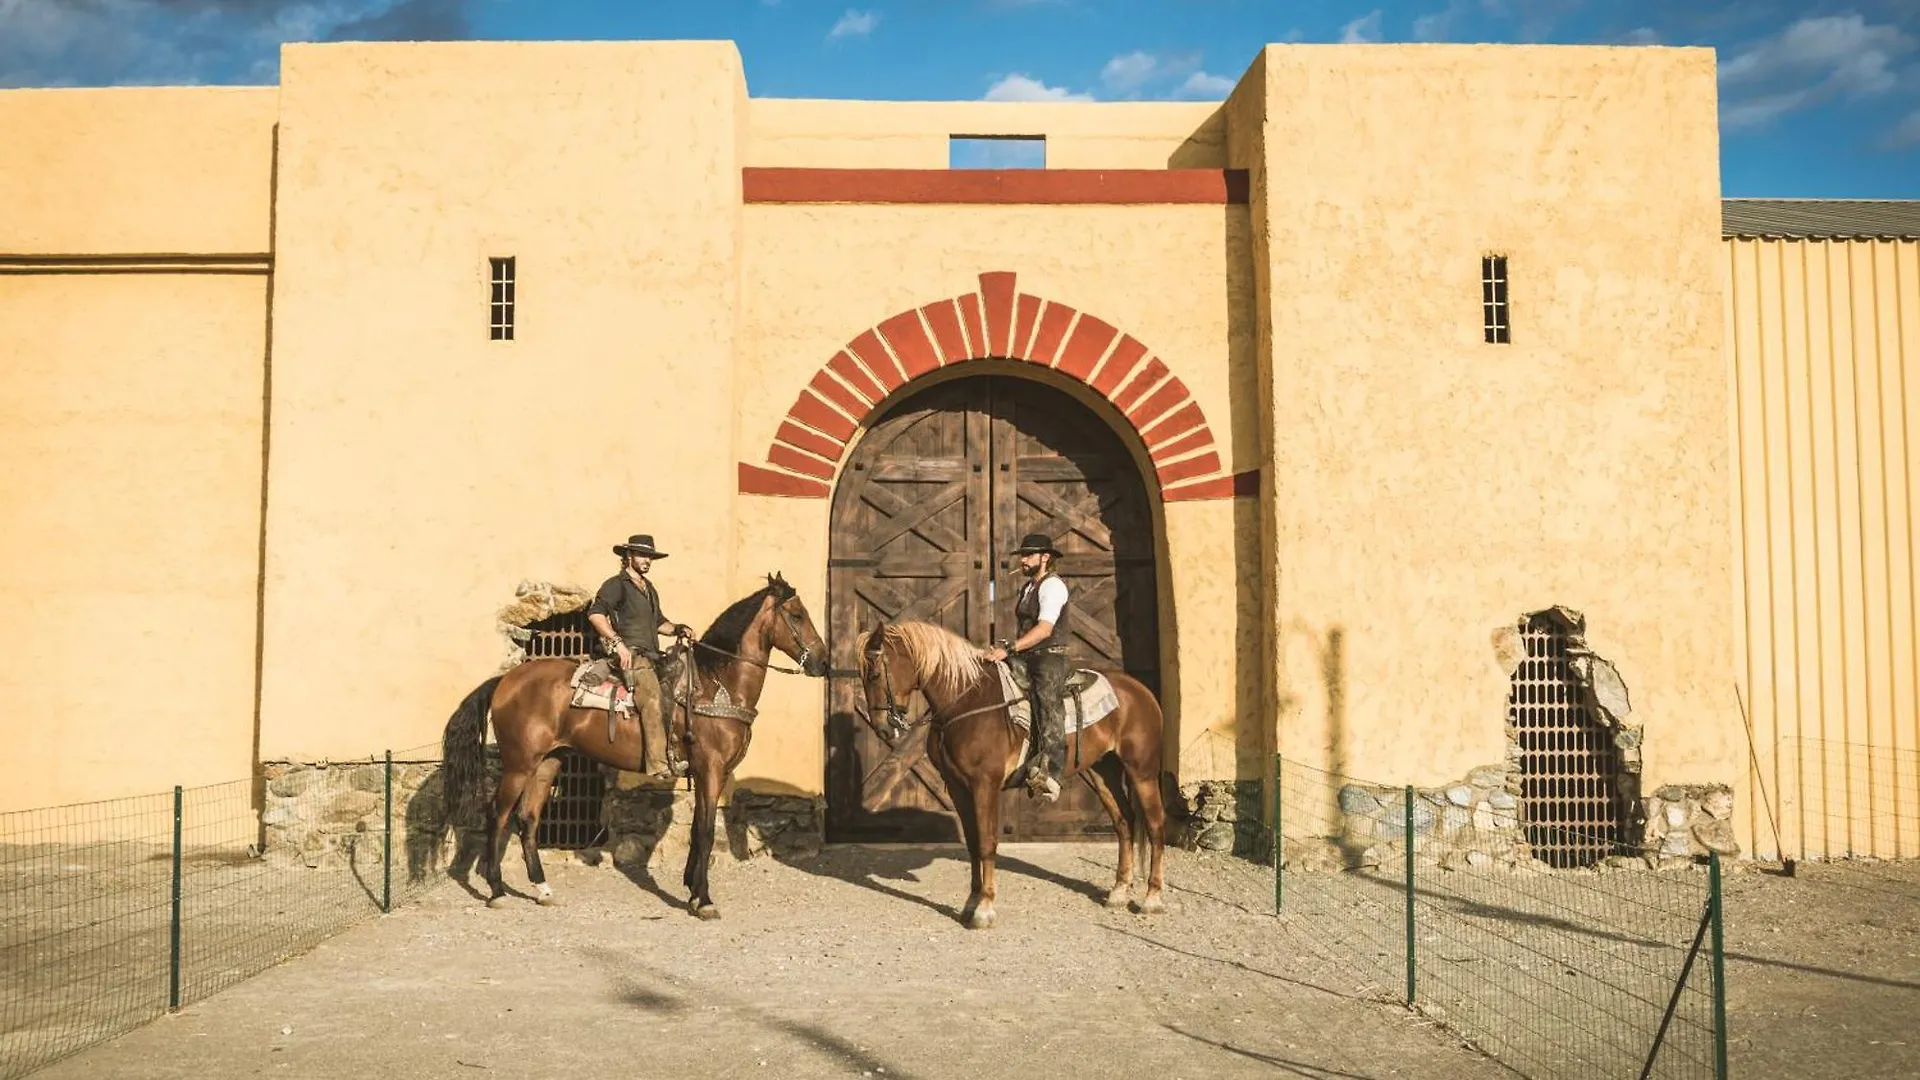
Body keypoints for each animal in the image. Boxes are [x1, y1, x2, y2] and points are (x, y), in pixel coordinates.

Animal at [441, 568, 833, 910]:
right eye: (796, 614)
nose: (823, 663)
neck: (716, 684)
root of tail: (506, 681)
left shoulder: (709, 773)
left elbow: (696, 830)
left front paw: (692, 890)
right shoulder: (711, 769)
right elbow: (706, 831)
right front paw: (703, 900)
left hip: (548, 761)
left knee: (528, 818)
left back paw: (542, 889)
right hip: (519, 764)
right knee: (498, 814)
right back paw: (496, 890)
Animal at [860, 614, 1167, 926]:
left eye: (874, 674)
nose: (882, 728)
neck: (965, 701)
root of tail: (1141, 691)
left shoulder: (985, 785)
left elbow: (987, 843)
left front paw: (985, 909)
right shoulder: (958, 787)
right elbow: (973, 844)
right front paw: (971, 903)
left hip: (1142, 772)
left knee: (1155, 824)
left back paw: (1152, 898)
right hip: (1103, 772)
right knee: (1124, 821)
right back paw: (1118, 892)